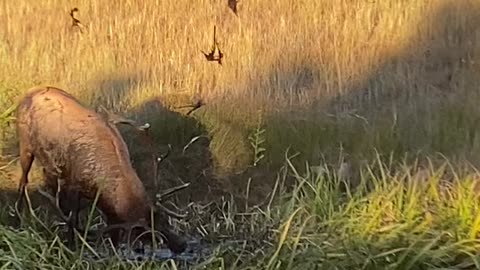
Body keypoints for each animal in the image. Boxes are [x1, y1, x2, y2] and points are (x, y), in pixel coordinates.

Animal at [15, 86, 188, 253]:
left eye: (162, 218)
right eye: (144, 233)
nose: (182, 245)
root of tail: (28, 92)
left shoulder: (107, 208)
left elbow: (112, 232)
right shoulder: (74, 184)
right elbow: (73, 221)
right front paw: (71, 247)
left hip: (50, 167)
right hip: (26, 145)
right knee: (23, 182)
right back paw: (17, 219)